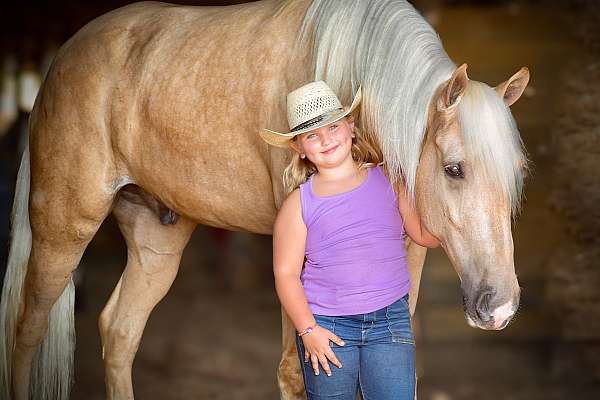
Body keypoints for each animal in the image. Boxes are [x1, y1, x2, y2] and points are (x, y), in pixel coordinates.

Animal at [0, 0, 528, 398]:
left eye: (517, 174)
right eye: (454, 169)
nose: (500, 307)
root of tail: (61, 59)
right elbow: (297, 372)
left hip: (156, 242)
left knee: (119, 331)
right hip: (63, 228)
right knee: (26, 331)